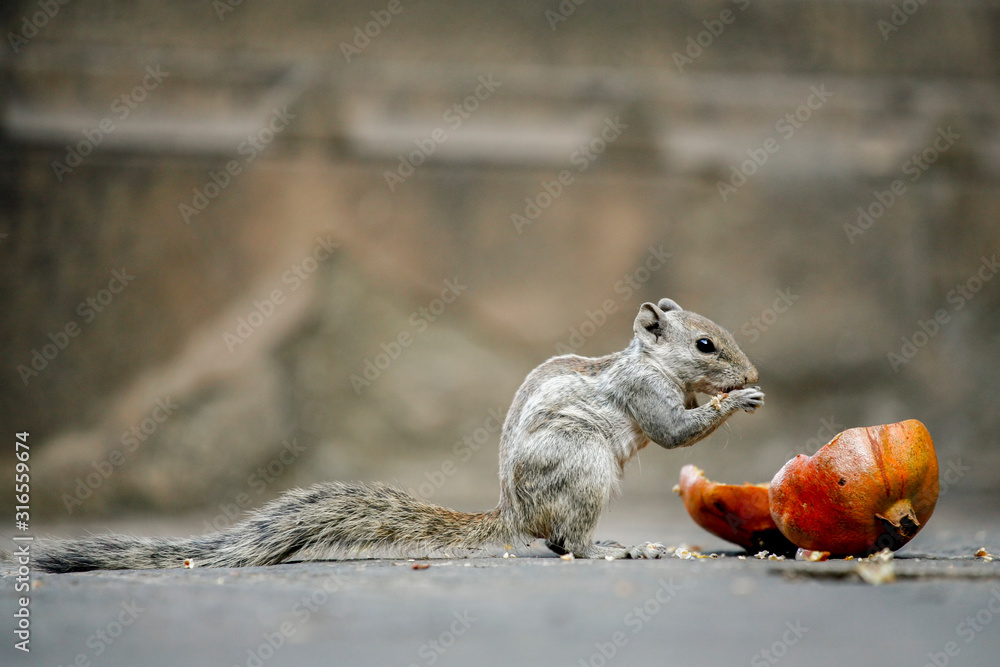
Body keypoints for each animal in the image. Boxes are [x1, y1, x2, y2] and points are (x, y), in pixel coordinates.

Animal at [33, 298, 763, 572]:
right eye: (705, 344)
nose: (752, 371)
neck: (649, 363)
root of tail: (513, 512)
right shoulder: (642, 393)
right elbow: (672, 432)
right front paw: (736, 400)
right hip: (582, 471)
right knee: (567, 541)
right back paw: (613, 546)